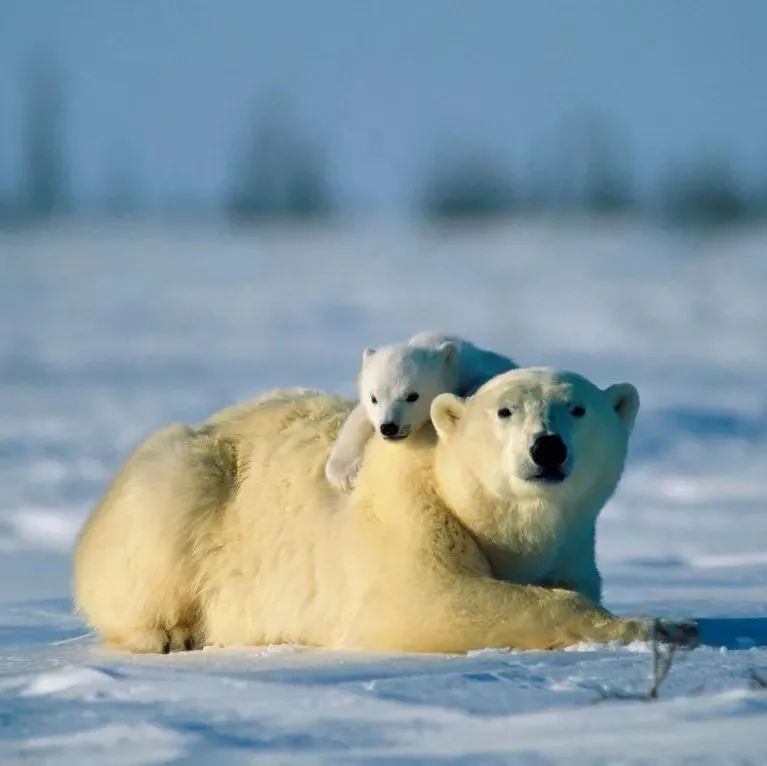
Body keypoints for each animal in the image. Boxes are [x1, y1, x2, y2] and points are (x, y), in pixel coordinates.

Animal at [73, 370, 696, 656]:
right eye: (505, 410)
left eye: (578, 408)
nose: (547, 447)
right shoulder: (409, 512)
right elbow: (430, 599)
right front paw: (665, 625)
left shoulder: (571, 545)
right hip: (183, 482)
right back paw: (170, 633)